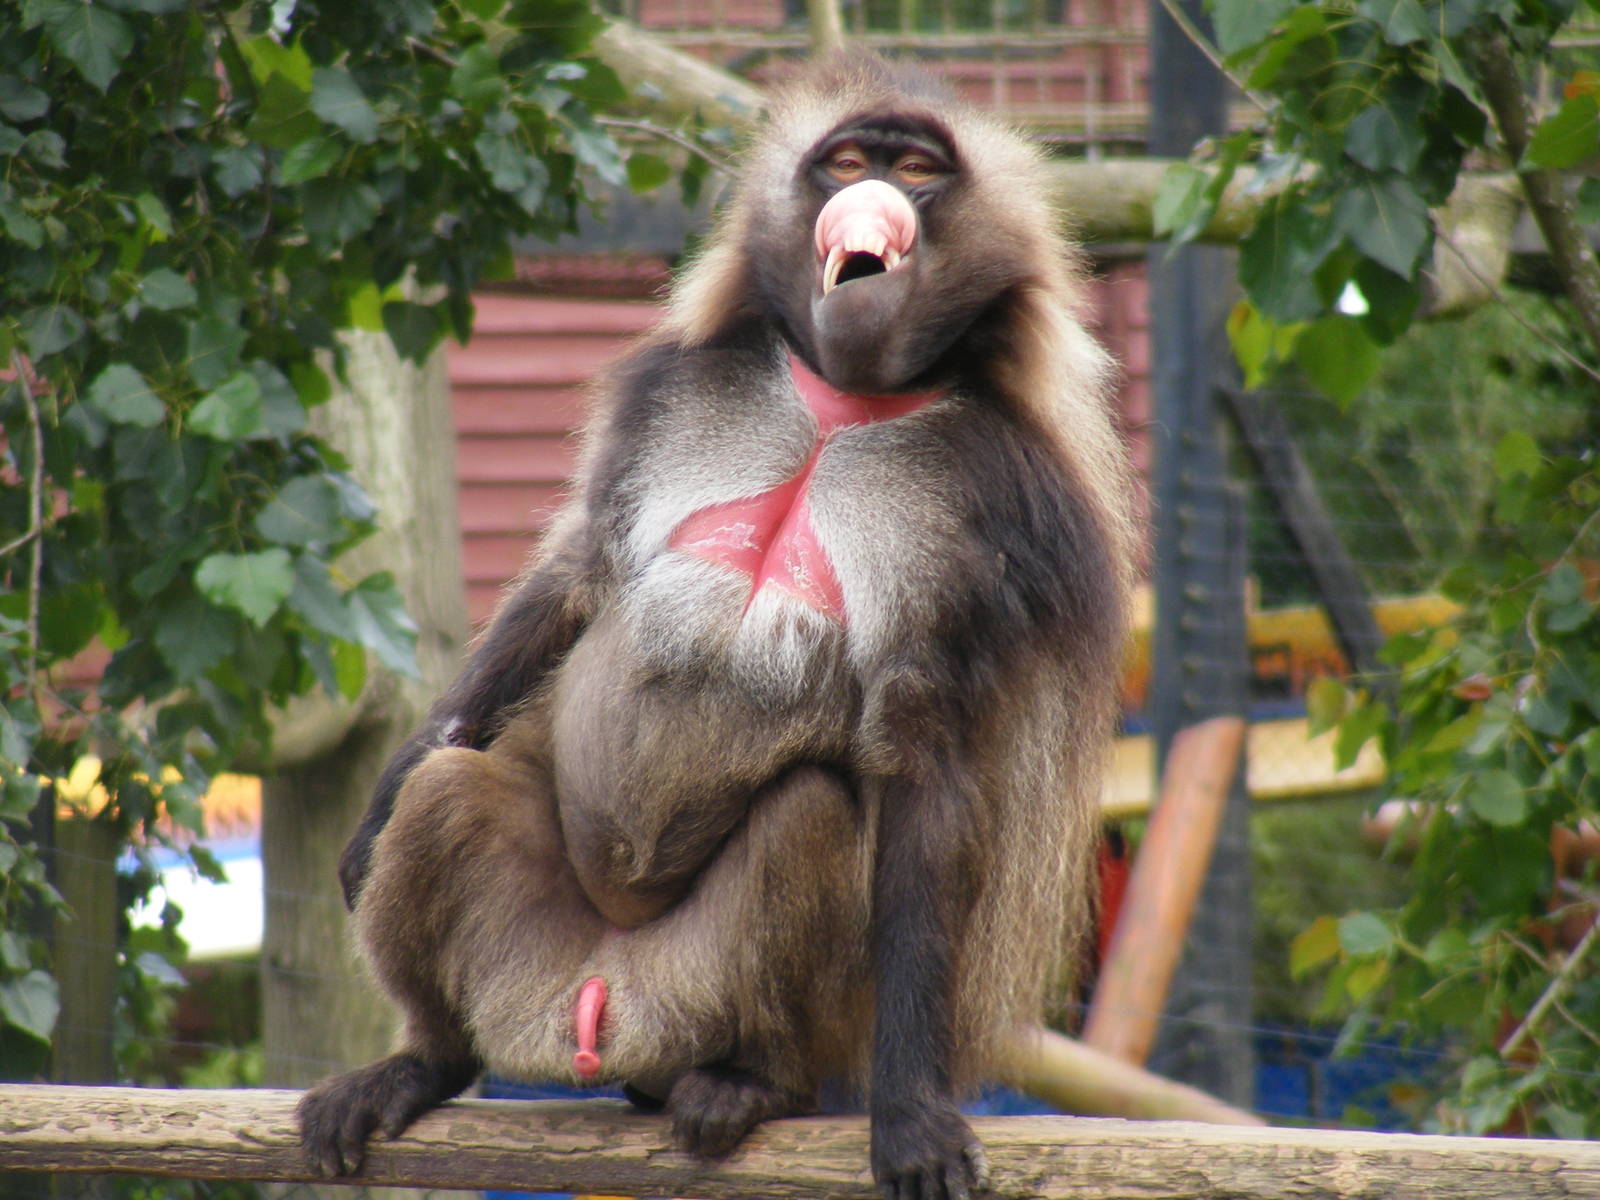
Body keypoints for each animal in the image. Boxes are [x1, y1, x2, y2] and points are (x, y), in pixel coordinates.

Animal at [297, 50, 1136, 1200]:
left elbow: (927, 765)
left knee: (807, 813)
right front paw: (373, 816)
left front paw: (910, 1112)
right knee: (449, 786)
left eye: (918, 171)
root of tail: (602, 1005)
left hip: (709, 994)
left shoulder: (997, 511)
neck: (841, 406)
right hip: (539, 962)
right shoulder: (672, 397)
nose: (867, 199)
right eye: (847, 162)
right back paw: (426, 1059)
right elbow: (578, 577)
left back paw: (750, 1083)